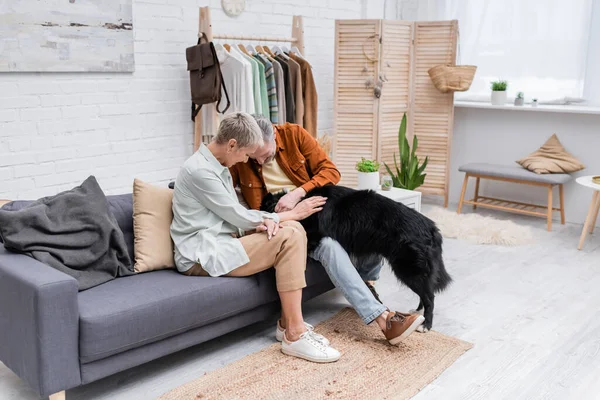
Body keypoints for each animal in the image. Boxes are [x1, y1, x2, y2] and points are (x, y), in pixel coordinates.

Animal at [260, 184, 452, 332]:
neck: (300, 205)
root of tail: (432, 229)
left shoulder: (312, 236)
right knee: (426, 292)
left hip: (408, 269)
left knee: (430, 296)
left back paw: (426, 324)